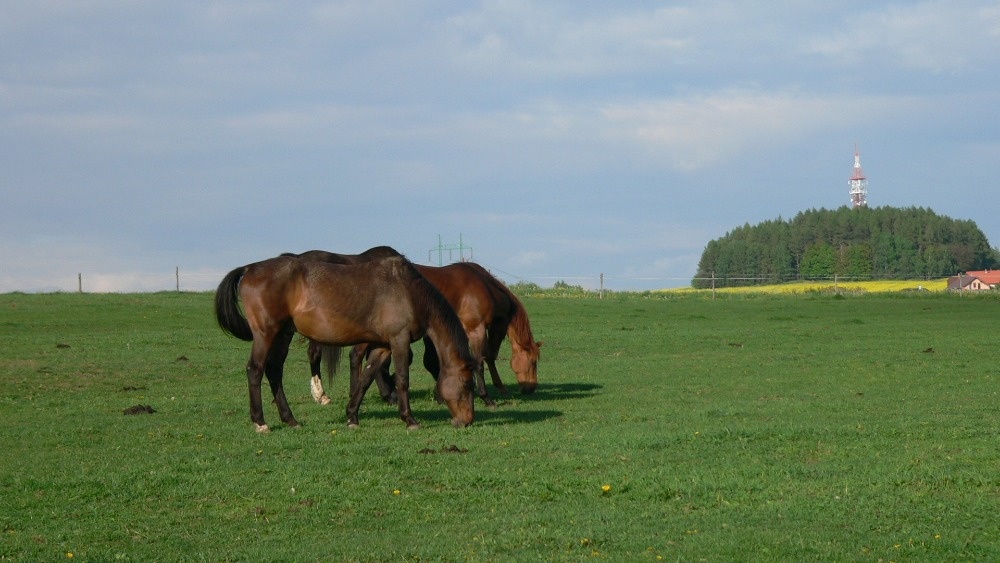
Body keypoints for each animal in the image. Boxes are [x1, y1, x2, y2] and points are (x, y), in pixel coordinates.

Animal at [212, 253, 476, 434]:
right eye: (466, 384)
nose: (467, 421)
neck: (408, 290)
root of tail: (250, 268)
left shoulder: (382, 346)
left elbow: (365, 378)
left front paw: (352, 417)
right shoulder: (399, 340)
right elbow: (402, 379)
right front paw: (409, 419)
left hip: (283, 334)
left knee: (274, 371)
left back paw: (290, 419)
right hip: (266, 333)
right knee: (255, 370)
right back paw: (260, 422)